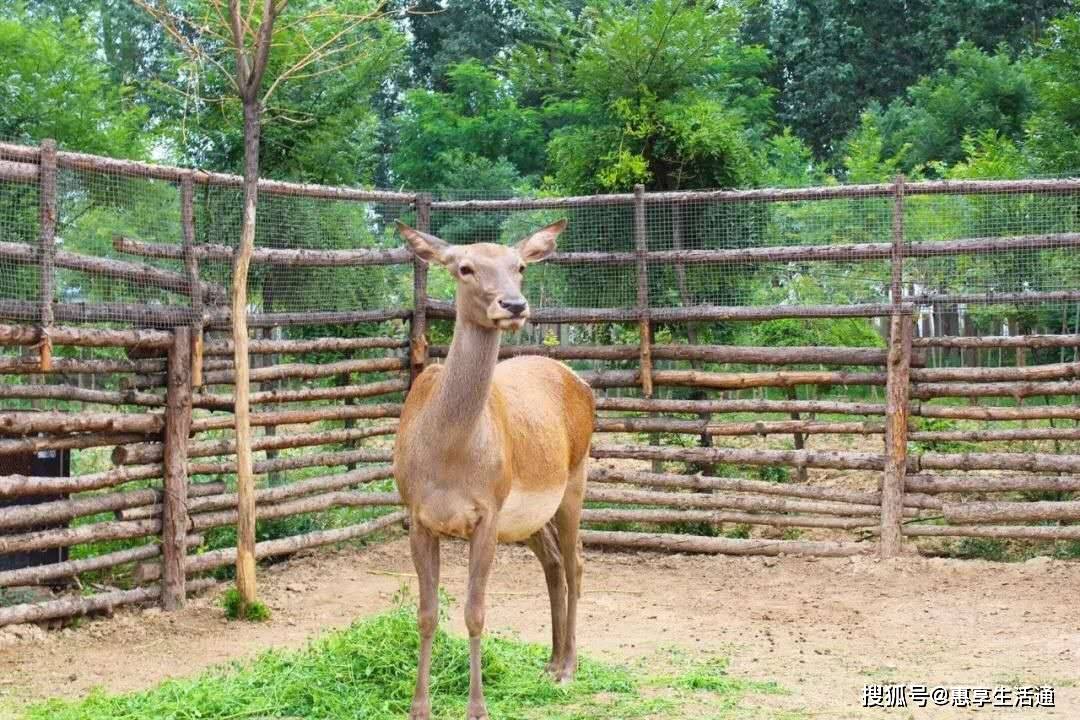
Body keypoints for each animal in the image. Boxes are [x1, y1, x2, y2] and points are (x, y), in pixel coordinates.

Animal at [390, 220, 591, 720]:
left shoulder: (487, 513)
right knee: (553, 563)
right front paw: (418, 707)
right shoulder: (417, 516)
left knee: (575, 563)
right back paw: (550, 660)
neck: (447, 455)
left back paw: (568, 667)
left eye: (519, 266)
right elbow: (427, 614)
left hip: (575, 480)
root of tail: (582, 384)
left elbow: (475, 612)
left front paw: (477, 708)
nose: (514, 305)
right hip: (528, 518)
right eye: (464, 267)